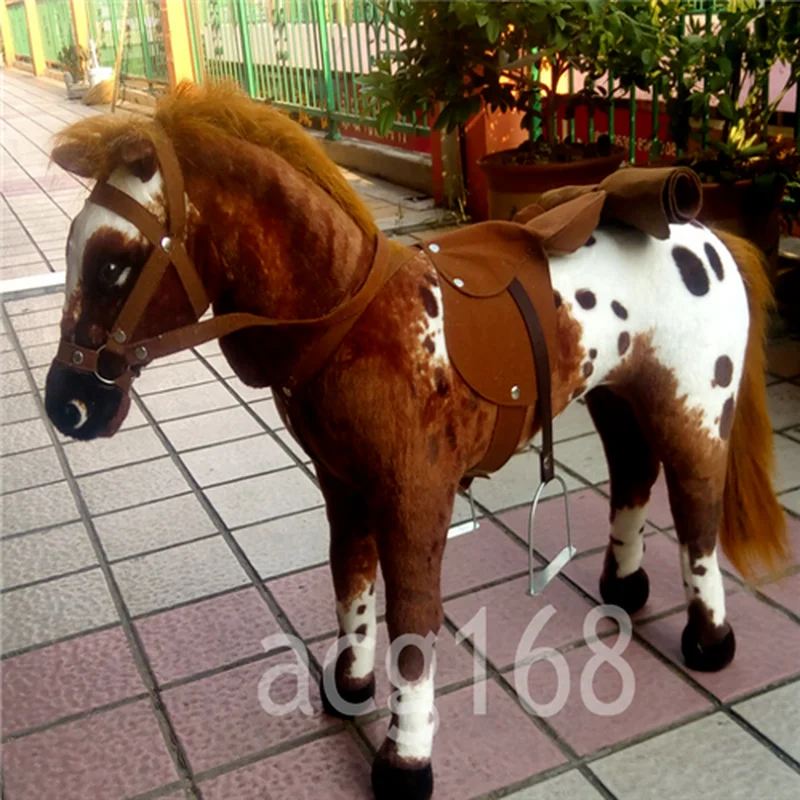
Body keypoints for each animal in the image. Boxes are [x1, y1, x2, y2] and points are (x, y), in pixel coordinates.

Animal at [45, 83, 787, 800]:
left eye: (112, 263)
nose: (67, 404)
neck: (353, 319)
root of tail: (714, 236)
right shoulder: (342, 483)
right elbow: (349, 579)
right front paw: (349, 687)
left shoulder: (415, 494)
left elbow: (412, 616)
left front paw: (406, 760)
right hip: (616, 396)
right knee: (633, 473)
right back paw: (623, 590)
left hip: (694, 405)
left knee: (696, 510)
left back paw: (709, 639)